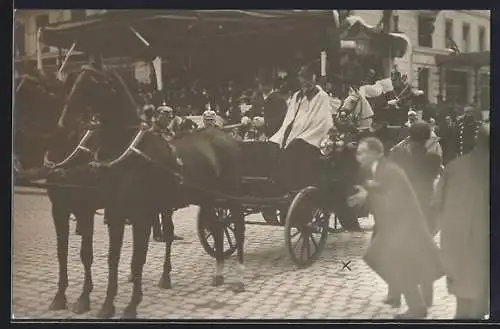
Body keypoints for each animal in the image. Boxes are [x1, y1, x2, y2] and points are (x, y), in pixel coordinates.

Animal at [57, 64, 245, 318]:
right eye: (73, 81)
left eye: (92, 83)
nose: (65, 120)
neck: (129, 153)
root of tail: (224, 135)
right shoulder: (115, 215)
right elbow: (113, 258)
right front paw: (107, 305)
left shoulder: (141, 216)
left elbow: (137, 259)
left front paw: (131, 305)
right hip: (209, 198)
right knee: (217, 228)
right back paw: (218, 273)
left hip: (230, 196)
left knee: (239, 228)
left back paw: (240, 276)